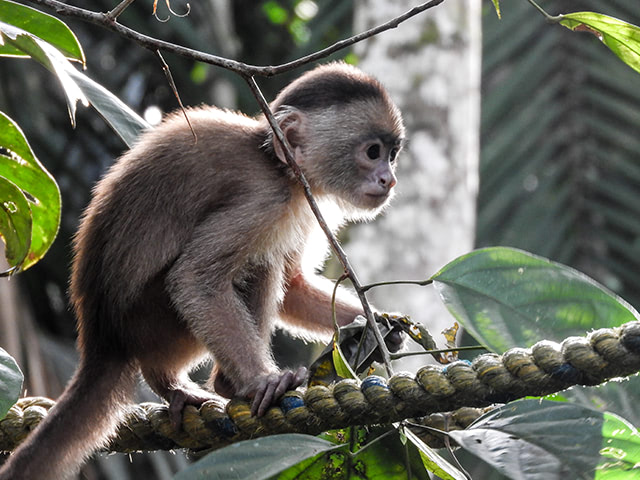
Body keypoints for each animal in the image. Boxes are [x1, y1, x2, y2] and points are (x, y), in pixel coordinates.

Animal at [0, 62, 405, 479]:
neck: (278, 165)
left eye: (392, 154)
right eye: (372, 152)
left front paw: (379, 326)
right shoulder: (267, 200)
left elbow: (292, 287)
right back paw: (222, 384)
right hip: (153, 322)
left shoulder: (301, 202)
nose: (389, 179)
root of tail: (102, 340)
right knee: (258, 263)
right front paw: (260, 379)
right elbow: (195, 279)